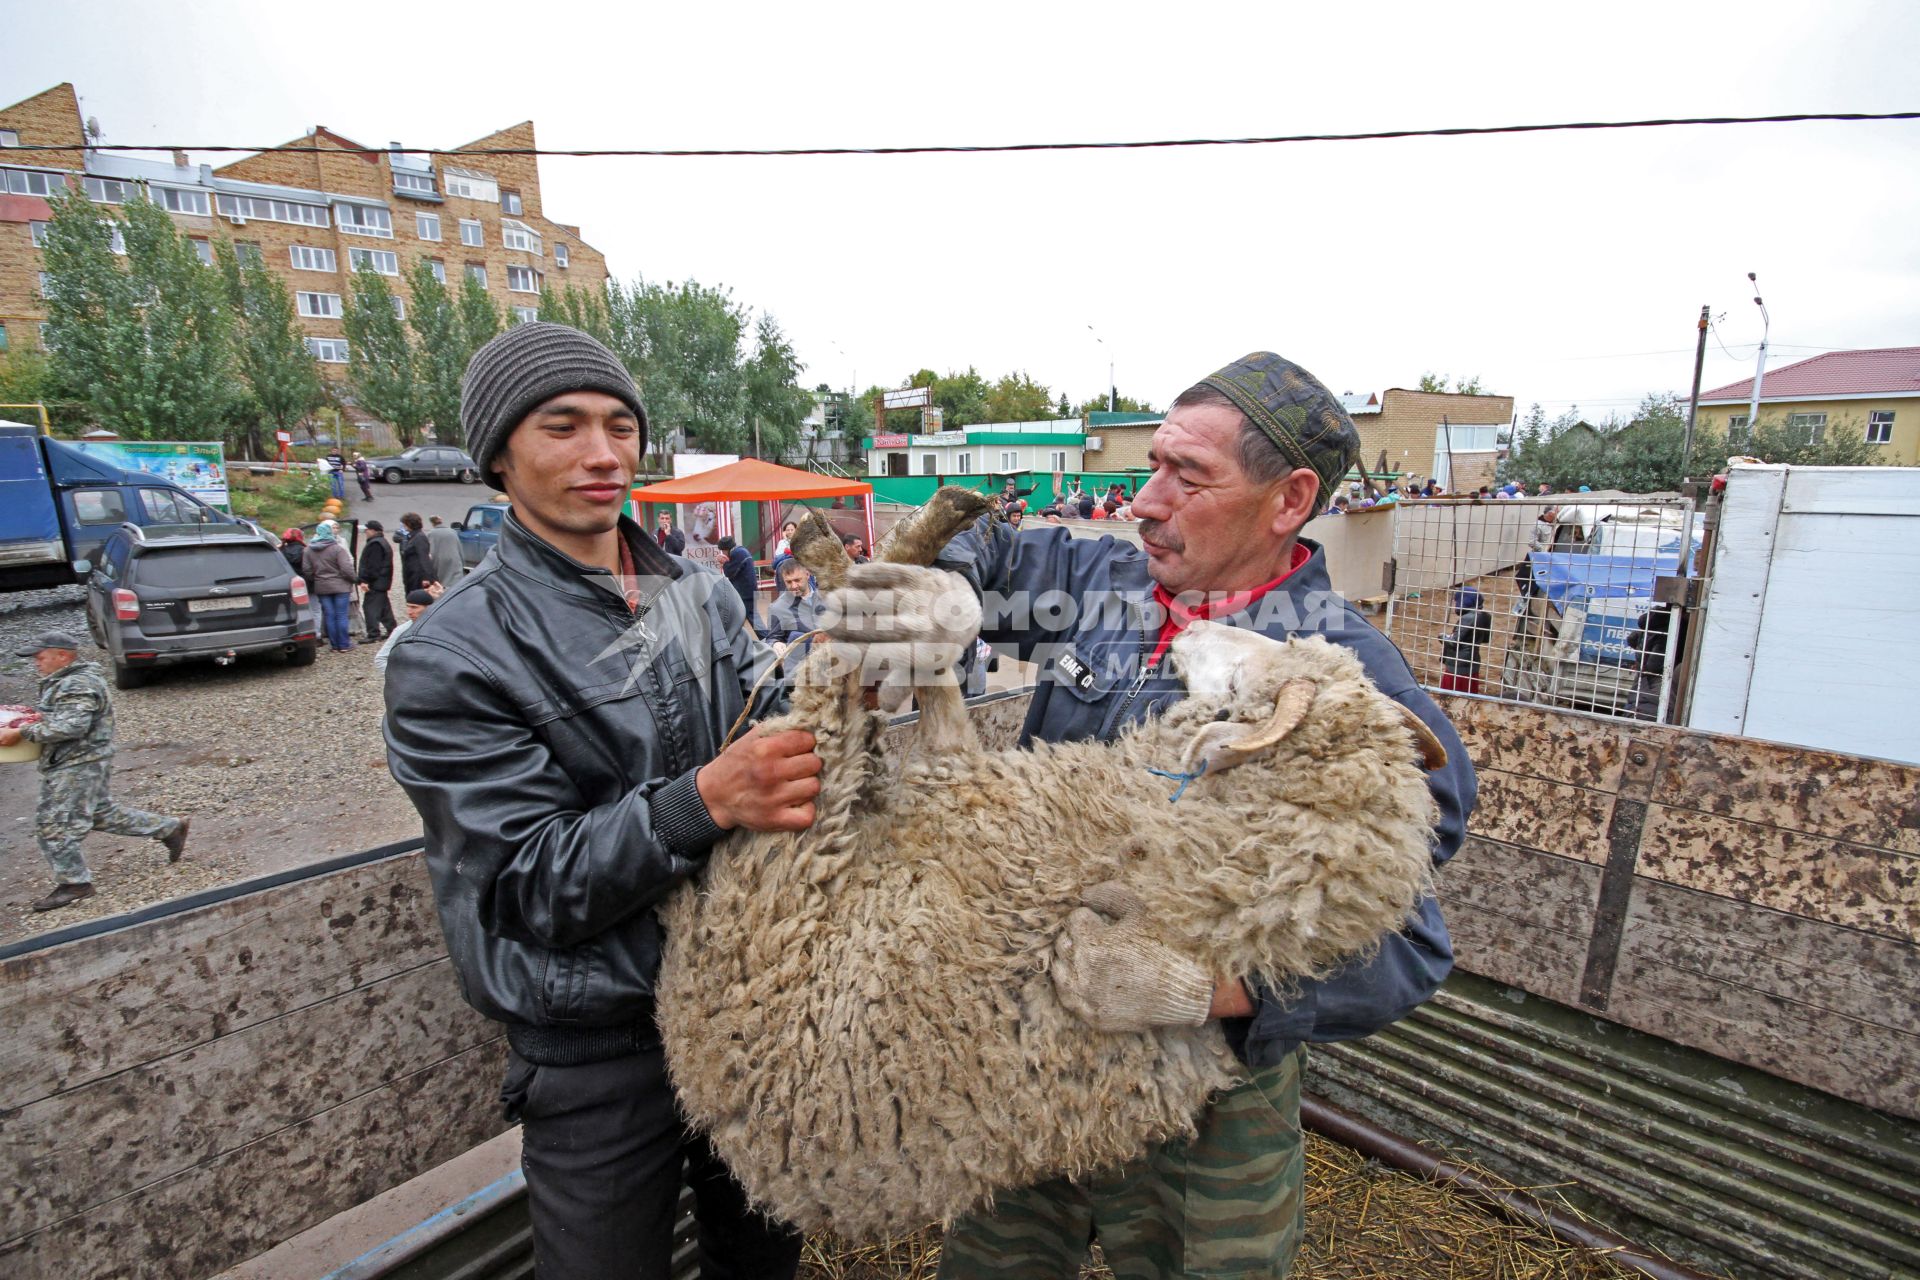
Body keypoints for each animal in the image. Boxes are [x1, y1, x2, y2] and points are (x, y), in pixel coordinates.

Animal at [656, 487, 1443, 1243]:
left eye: (1246, 671)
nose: (1191, 629)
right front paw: (926, 599)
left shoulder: (959, 787)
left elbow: (940, 694)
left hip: (792, 833)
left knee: (830, 685)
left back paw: (855, 544)